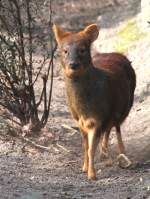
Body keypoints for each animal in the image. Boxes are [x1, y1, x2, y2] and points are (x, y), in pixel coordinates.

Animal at [52, 23, 136, 180]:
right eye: (65, 50)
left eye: (82, 49)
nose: (73, 65)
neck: (84, 109)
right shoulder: (79, 121)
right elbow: (86, 147)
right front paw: (84, 168)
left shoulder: (98, 117)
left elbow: (91, 148)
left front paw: (92, 175)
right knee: (109, 129)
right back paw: (105, 153)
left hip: (125, 107)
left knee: (116, 127)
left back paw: (122, 153)